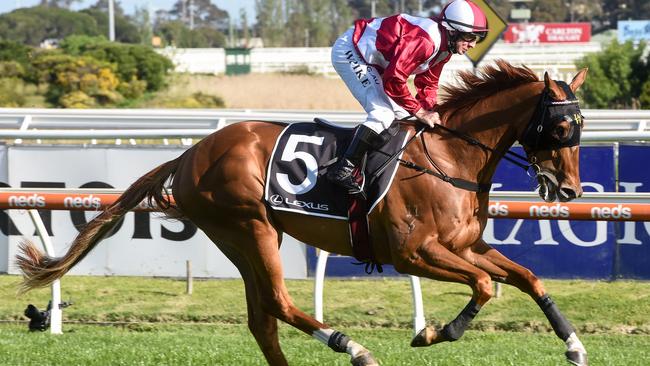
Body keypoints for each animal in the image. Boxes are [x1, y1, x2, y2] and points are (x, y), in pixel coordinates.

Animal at [19, 61, 588, 364]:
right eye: (561, 128)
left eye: (580, 128)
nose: (569, 189)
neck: (449, 157)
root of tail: (190, 153)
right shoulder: (414, 253)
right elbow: (486, 286)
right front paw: (433, 333)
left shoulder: (466, 245)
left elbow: (529, 279)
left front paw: (575, 346)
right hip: (249, 226)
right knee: (277, 302)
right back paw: (352, 346)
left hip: (247, 237)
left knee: (262, 317)